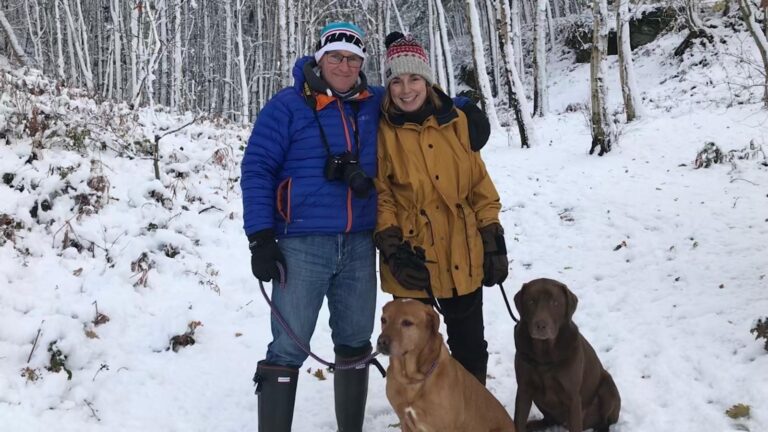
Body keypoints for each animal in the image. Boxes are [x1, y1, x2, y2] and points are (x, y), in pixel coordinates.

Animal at [377, 299, 516, 432]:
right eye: (383, 320)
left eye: (407, 323)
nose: (381, 342)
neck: (412, 380)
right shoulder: (404, 421)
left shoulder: (446, 426)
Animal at [513, 278, 621, 432]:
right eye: (531, 301)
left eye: (555, 303)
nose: (541, 325)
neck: (544, 355)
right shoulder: (524, 390)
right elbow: (518, 421)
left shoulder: (572, 397)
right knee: (549, 420)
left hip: (608, 387)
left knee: (605, 421)